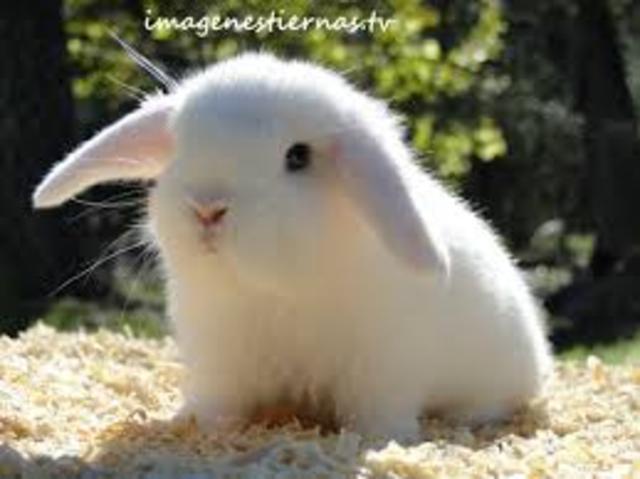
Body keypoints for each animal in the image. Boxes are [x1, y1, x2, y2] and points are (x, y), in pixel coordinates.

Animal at [32, 52, 552, 440]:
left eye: (297, 157)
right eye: (181, 147)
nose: (207, 208)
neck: (276, 288)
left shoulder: (382, 368)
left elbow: (378, 415)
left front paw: (384, 441)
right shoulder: (221, 362)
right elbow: (219, 406)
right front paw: (197, 426)